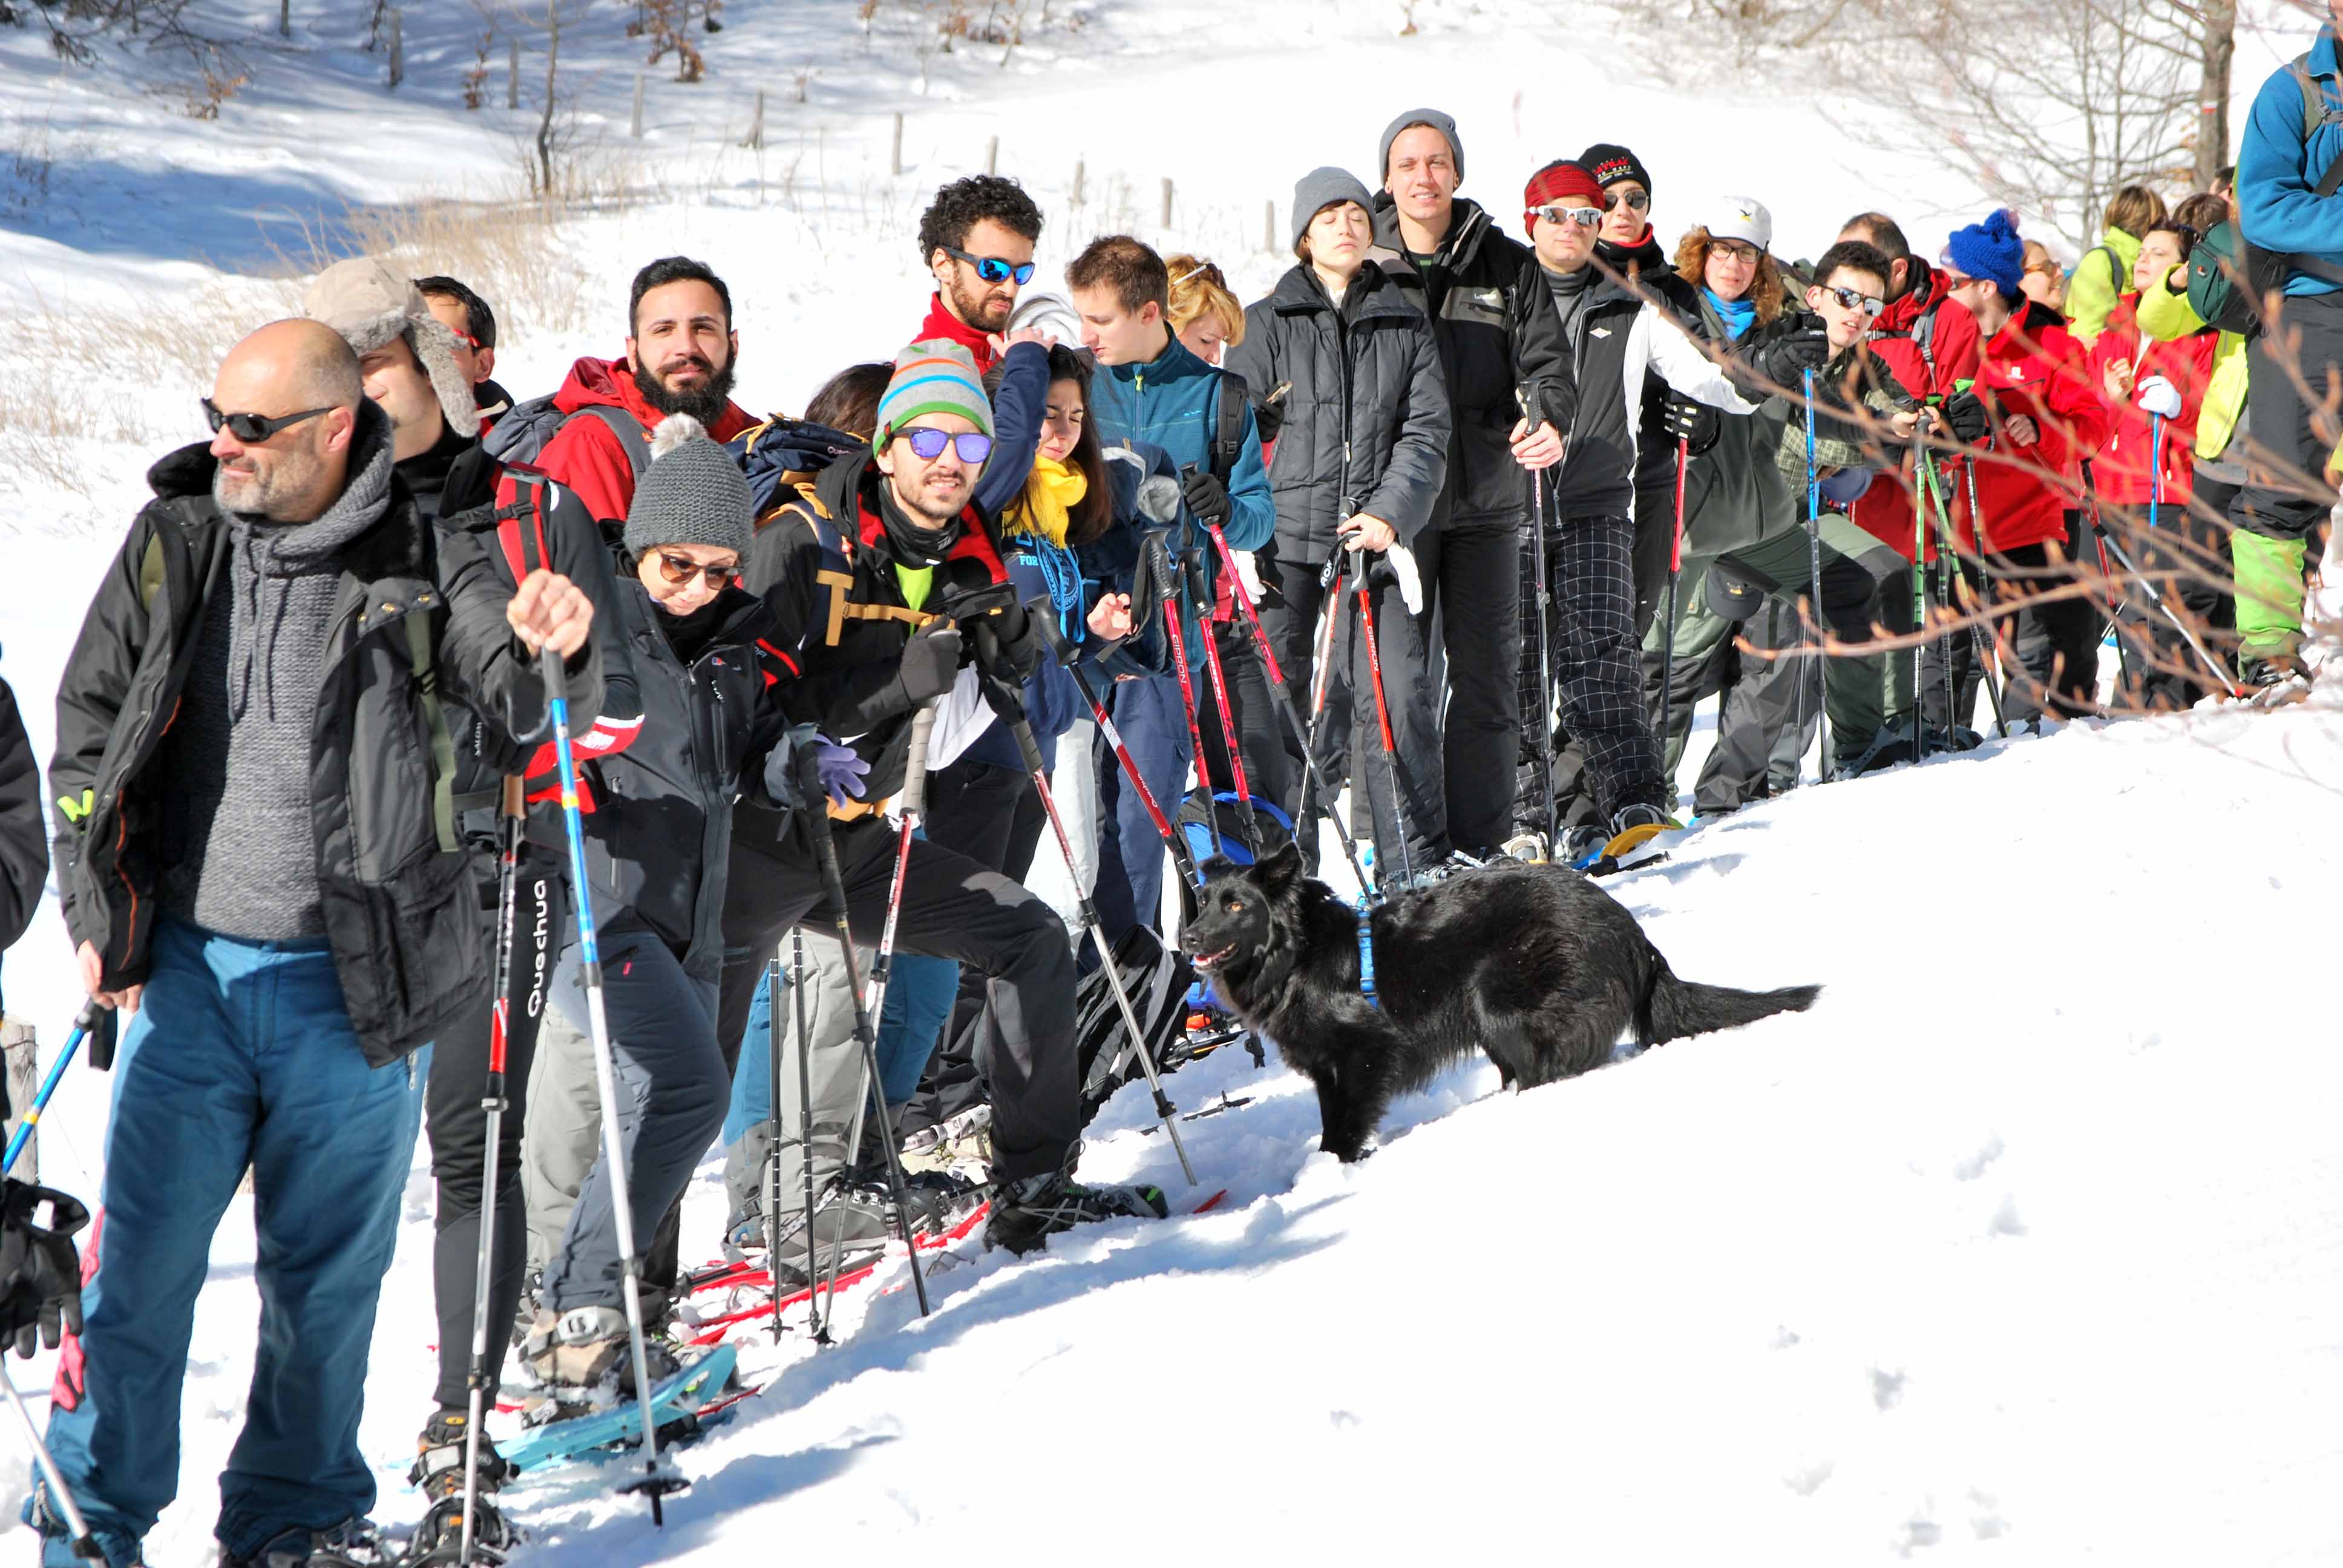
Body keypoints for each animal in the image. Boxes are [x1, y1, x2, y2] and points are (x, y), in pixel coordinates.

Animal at [1181, 843, 1818, 1162]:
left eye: (1236, 906)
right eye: (1204, 902)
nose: (1186, 939)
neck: (1296, 956)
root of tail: (1634, 934)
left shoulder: (1365, 1051)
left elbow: (1345, 1124)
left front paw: (1334, 1168)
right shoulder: (1325, 1070)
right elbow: (1331, 1118)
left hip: (1497, 996)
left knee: (1547, 1068)